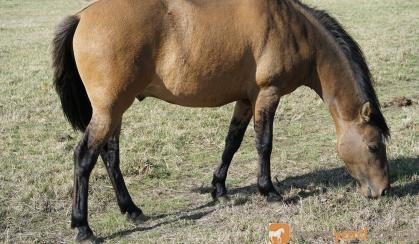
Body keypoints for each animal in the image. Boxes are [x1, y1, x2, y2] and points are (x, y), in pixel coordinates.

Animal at [51, 0, 390, 240]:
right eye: (373, 146)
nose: (383, 191)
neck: (294, 30)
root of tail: (82, 16)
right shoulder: (268, 94)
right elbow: (264, 144)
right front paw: (269, 191)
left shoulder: (246, 99)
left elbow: (232, 142)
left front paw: (219, 189)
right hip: (109, 110)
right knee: (84, 157)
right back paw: (83, 227)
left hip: (115, 111)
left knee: (110, 157)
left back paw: (131, 209)